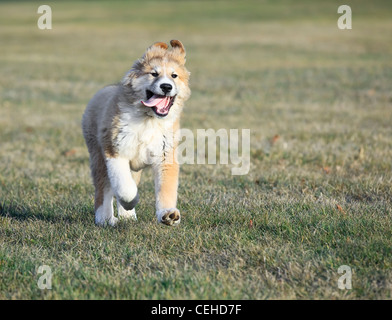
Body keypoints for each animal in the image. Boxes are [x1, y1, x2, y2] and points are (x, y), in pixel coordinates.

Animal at [82, 39, 191, 225]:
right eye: (154, 74)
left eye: (174, 76)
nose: (166, 86)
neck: (149, 120)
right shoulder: (115, 152)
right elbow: (125, 187)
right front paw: (130, 201)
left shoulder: (166, 156)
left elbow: (166, 188)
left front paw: (168, 214)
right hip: (98, 157)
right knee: (103, 190)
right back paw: (105, 219)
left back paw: (127, 216)